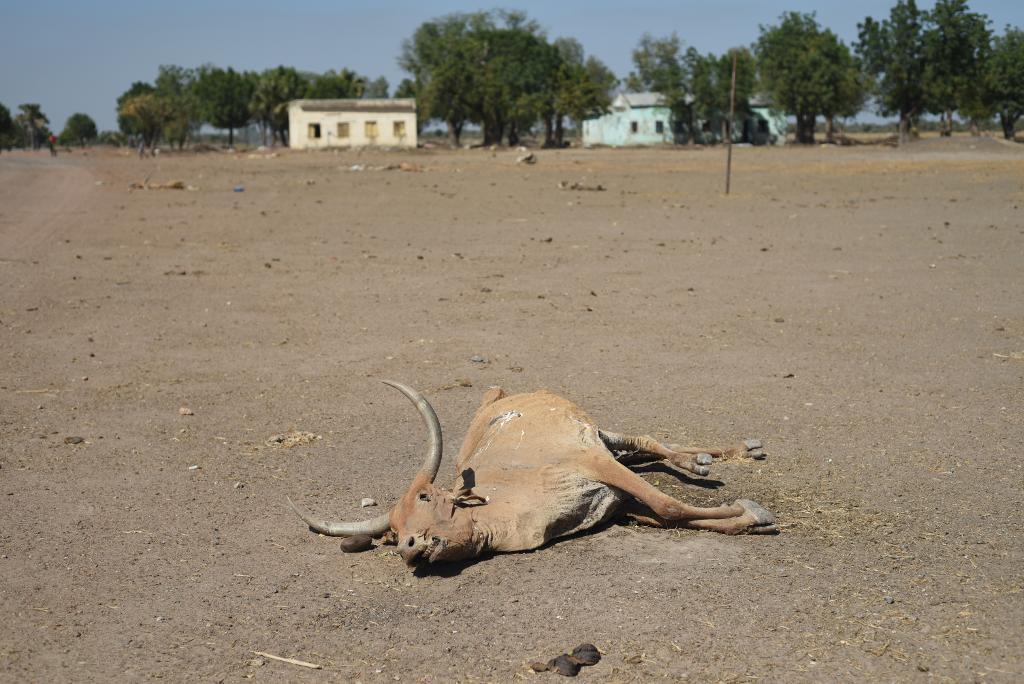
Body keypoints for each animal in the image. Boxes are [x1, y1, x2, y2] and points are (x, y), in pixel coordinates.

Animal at [288, 378, 774, 565]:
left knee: (645, 442)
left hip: (596, 434)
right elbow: (668, 515)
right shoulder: (620, 507)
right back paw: (705, 458)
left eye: (426, 498)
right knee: (643, 451)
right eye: (393, 534)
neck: (507, 498)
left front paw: (752, 512)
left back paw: (726, 454)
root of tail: (501, 396)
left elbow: (670, 506)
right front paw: (743, 522)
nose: (411, 547)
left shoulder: (589, 461)